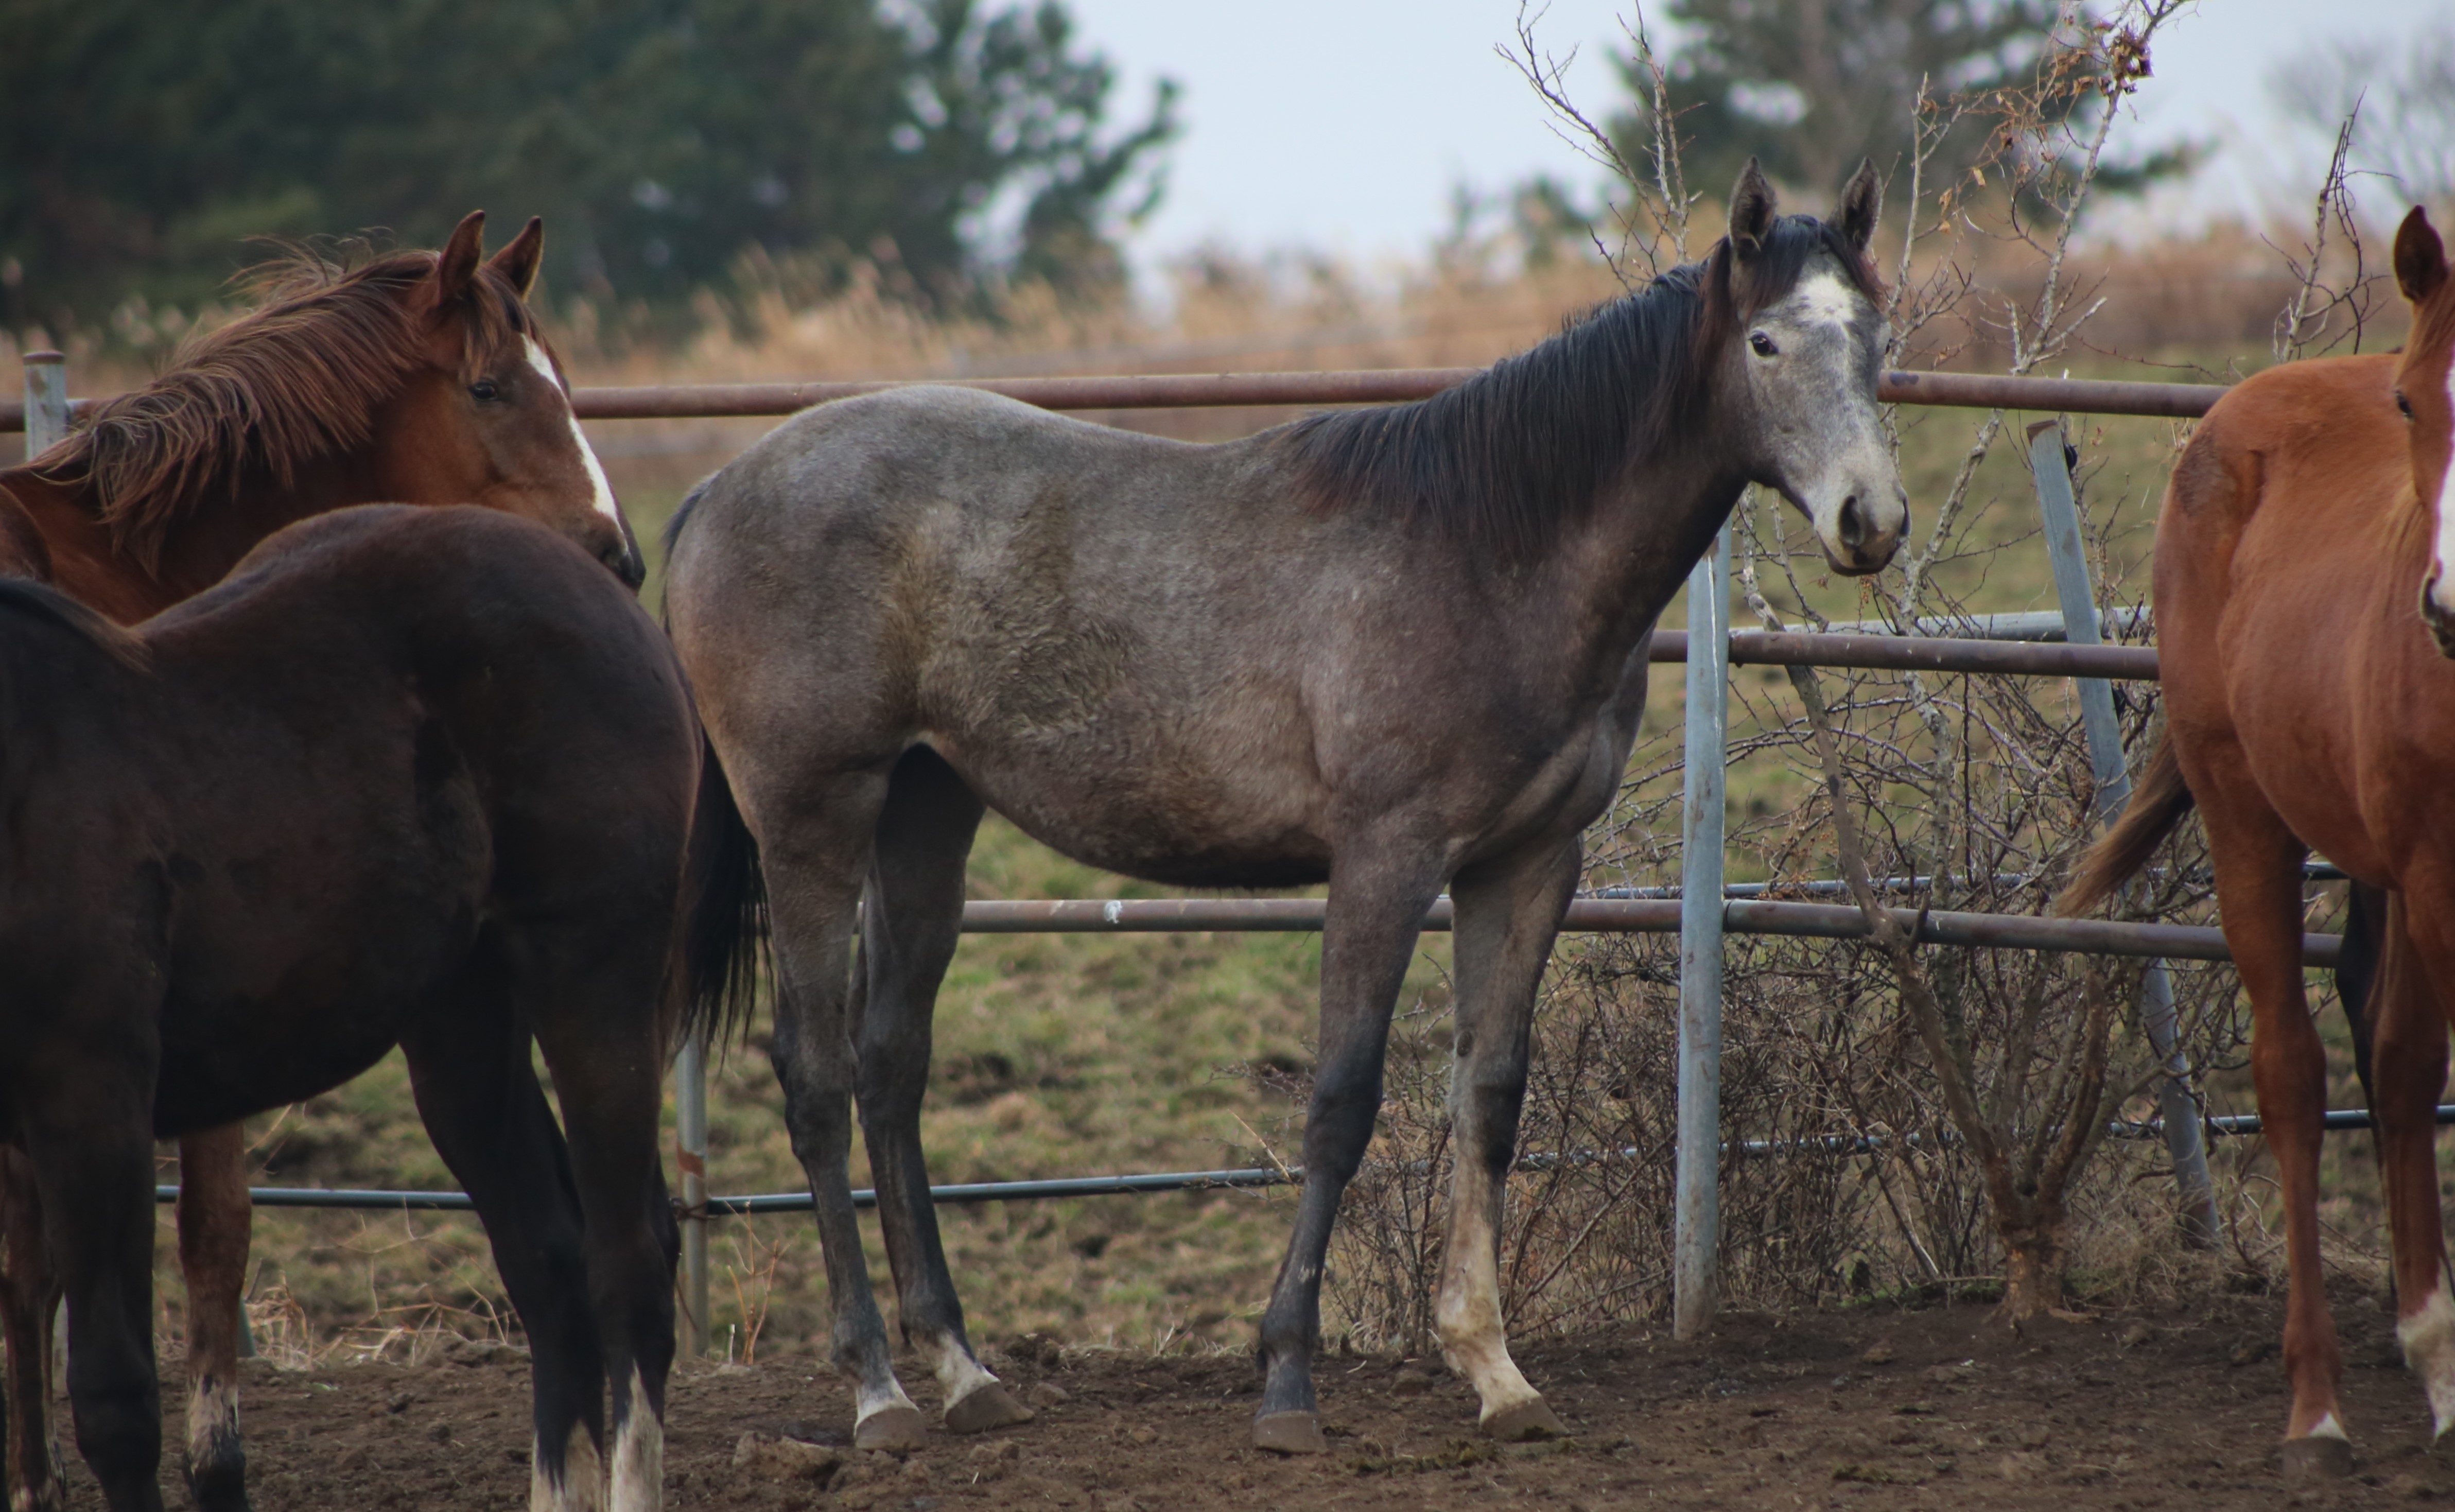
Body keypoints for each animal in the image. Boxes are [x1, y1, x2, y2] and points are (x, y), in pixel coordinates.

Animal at [663, 162, 1905, 1453]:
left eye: (1875, 335)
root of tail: (717, 489)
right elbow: (1341, 1104)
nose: (1868, 521)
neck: (1487, 548)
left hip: (924, 812)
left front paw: (1492, 1368)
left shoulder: (1524, 864)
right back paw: (877, 1391)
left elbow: (1488, 1097)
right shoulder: (1385, 858)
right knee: (813, 1076)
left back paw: (963, 1370)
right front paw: (1286, 1382)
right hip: (810, 819)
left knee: (888, 1066)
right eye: (1764, 341)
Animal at [2052, 206, 2455, 1472]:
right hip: (2252, 823)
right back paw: (2319, 1404)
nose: (2446, 608)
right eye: (2411, 402)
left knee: (2380, 1037)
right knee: (2299, 1072)